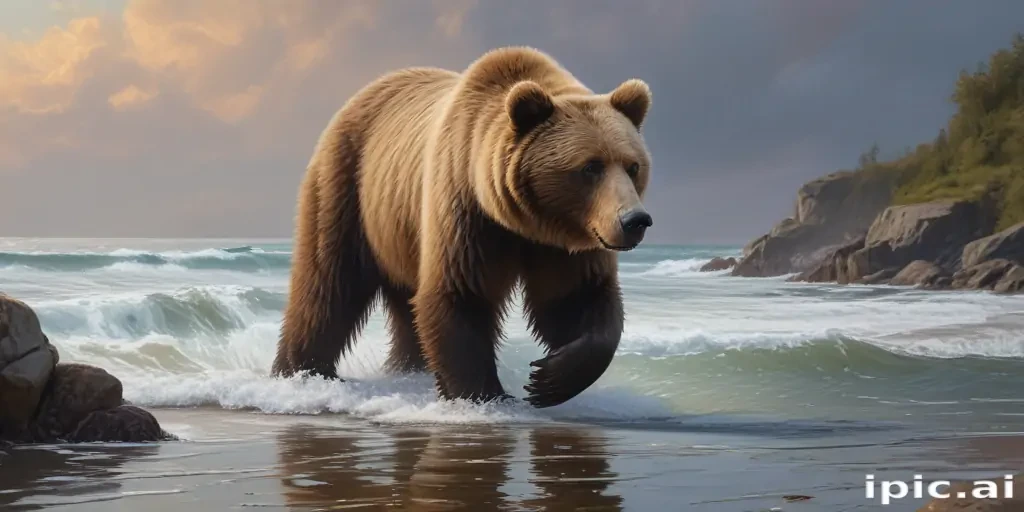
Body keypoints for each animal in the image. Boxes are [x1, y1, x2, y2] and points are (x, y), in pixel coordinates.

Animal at [270, 46, 654, 408]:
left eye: (633, 166)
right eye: (590, 167)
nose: (635, 220)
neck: (525, 222)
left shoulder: (565, 244)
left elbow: (577, 298)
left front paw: (548, 379)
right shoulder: (466, 210)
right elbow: (461, 293)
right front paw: (484, 396)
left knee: (404, 305)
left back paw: (407, 369)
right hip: (348, 187)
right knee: (328, 283)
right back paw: (300, 373)